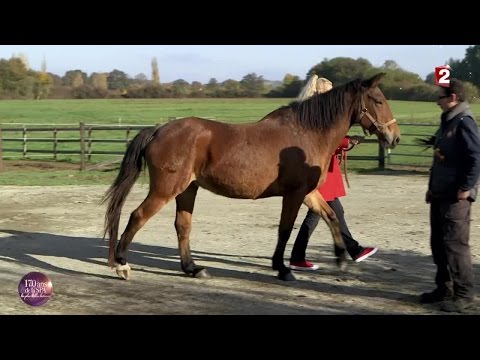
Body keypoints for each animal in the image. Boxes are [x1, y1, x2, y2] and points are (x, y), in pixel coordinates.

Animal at [103, 72, 400, 282]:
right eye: (378, 100)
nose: (394, 138)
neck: (306, 133)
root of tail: (158, 129)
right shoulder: (294, 194)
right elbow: (285, 229)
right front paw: (282, 268)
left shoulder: (307, 193)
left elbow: (330, 215)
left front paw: (341, 258)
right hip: (166, 189)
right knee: (137, 216)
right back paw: (122, 265)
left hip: (188, 189)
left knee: (182, 226)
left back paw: (193, 268)